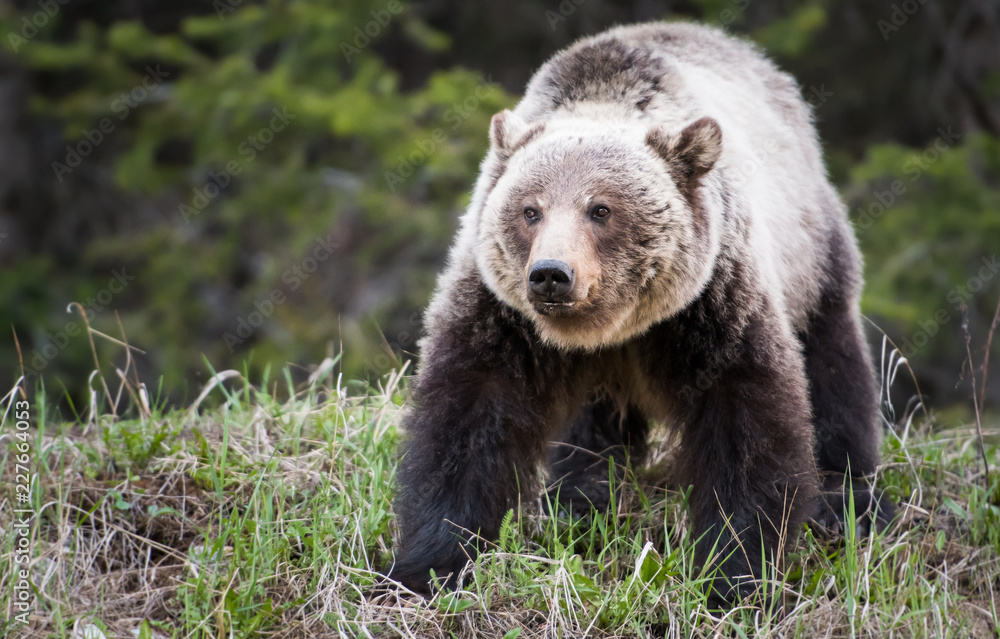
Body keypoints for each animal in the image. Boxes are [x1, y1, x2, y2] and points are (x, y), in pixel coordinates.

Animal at [387, 21, 894, 606]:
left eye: (601, 209)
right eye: (530, 210)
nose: (552, 274)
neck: (614, 327)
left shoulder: (712, 304)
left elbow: (747, 423)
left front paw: (735, 574)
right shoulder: (503, 316)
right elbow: (467, 420)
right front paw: (427, 567)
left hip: (812, 252)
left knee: (834, 365)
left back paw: (851, 500)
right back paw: (580, 497)